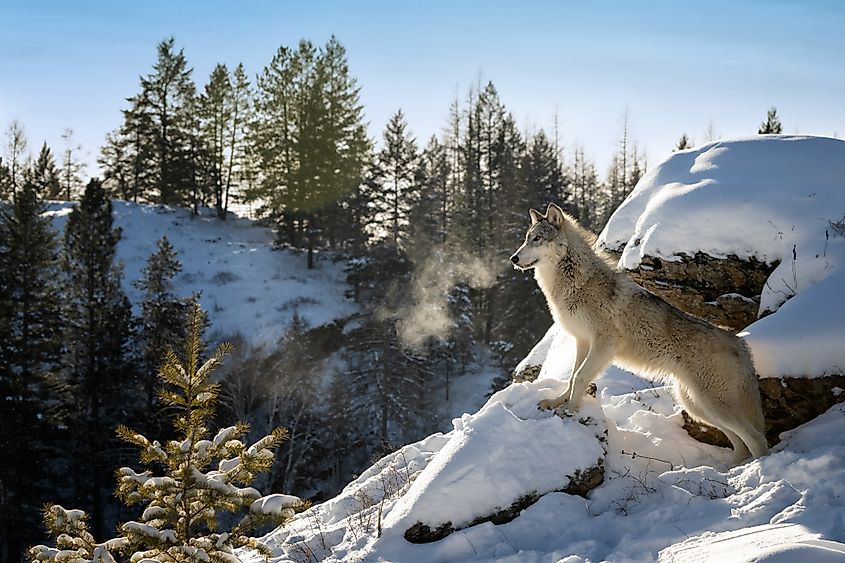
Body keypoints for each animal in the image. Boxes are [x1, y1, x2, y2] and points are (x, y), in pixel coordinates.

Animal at [510, 203, 768, 462]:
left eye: (537, 238)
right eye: (526, 239)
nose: (514, 258)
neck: (575, 283)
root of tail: (739, 342)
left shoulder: (604, 343)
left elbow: (580, 376)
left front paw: (570, 410)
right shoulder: (582, 341)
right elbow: (572, 377)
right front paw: (558, 402)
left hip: (712, 405)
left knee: (757, 440)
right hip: (698, 407)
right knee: (740, 443)